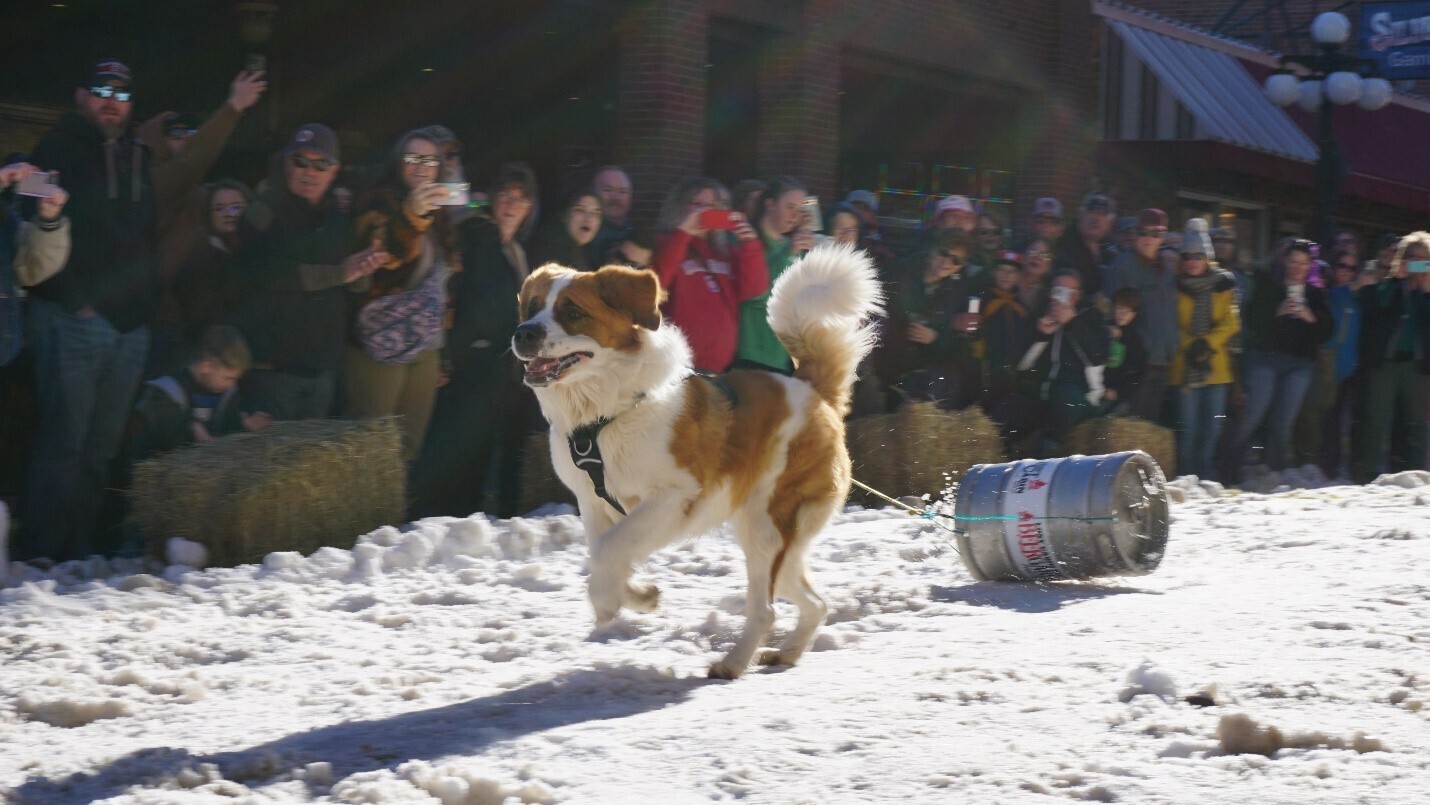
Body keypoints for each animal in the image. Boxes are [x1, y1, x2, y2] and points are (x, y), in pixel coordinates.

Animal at [509, 245, 875, 680]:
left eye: (571, 311)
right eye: (532, 307)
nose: (524, 332)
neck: (605, 414)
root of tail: (812, 390)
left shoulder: (673, 498)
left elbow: (611, 549)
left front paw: (613, 600)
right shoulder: (592, 502)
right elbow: (603, 552)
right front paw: (638, 596)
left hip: (766, 527)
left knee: (766, 610)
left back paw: (733, 663)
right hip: (781, 544)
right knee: (815, 602)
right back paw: (787, 652)